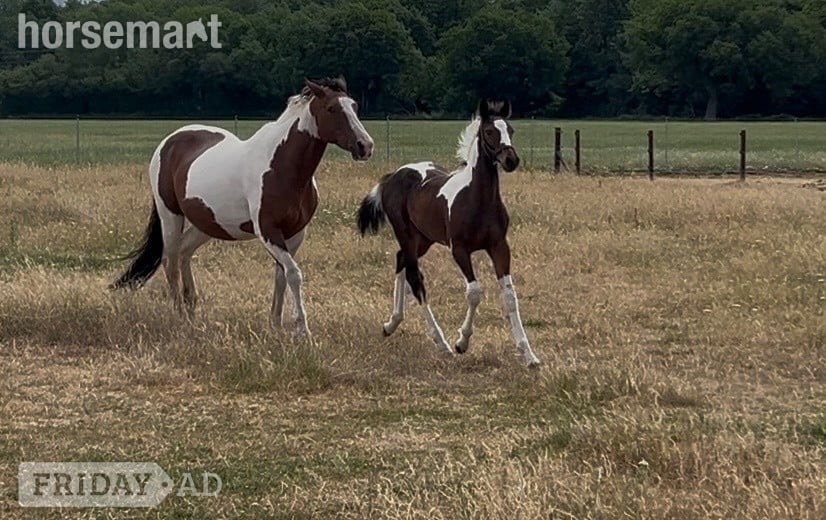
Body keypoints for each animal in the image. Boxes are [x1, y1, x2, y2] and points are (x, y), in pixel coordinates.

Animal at [113, 78, 374, 340]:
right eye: (332, 108)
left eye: (355, 106)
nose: (365, 146)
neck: (281, 167)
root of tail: (170, 141)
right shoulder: (268, 231)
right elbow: (293, 274)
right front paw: (303, 330)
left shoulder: (295, 233)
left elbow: (281, 276)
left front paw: (275, 325)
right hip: (170, 215)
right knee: (171, 259)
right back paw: (180, 317)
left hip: (207, 223)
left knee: (184, 252)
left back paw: (191, 309)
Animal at [356, 99, 542, 367]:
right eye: (489, 131)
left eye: (511, 130)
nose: (511, 160)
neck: (478, 200)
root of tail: (393, 176)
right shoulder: (460, 249)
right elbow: (474, 293)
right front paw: (461, 342)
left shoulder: (499, 247)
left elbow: (509, 297)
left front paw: (529, 355)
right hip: (406, 234)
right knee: (415, 279)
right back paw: (440, 342)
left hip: (423, 239)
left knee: (401, 260)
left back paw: (391, 324)